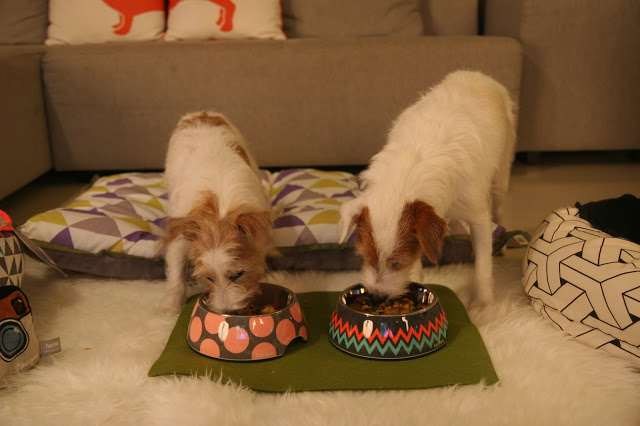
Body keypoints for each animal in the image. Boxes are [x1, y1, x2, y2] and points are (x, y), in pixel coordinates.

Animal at [163, 111, 273, 314]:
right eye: (208, 278)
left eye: (238, 274)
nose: (227, 312)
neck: (219, 212)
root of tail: (201, 113)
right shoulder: (179, 235)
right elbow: (175, 270)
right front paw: (170, 308)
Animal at [338, 70, 516, 306]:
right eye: (365, 257)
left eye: (397, 263)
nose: (377, 297)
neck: (407, 175)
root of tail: (476, 74)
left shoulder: (478, 214)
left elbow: (483, 267)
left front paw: (484, 305)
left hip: (501, 176)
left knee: (500, 208)